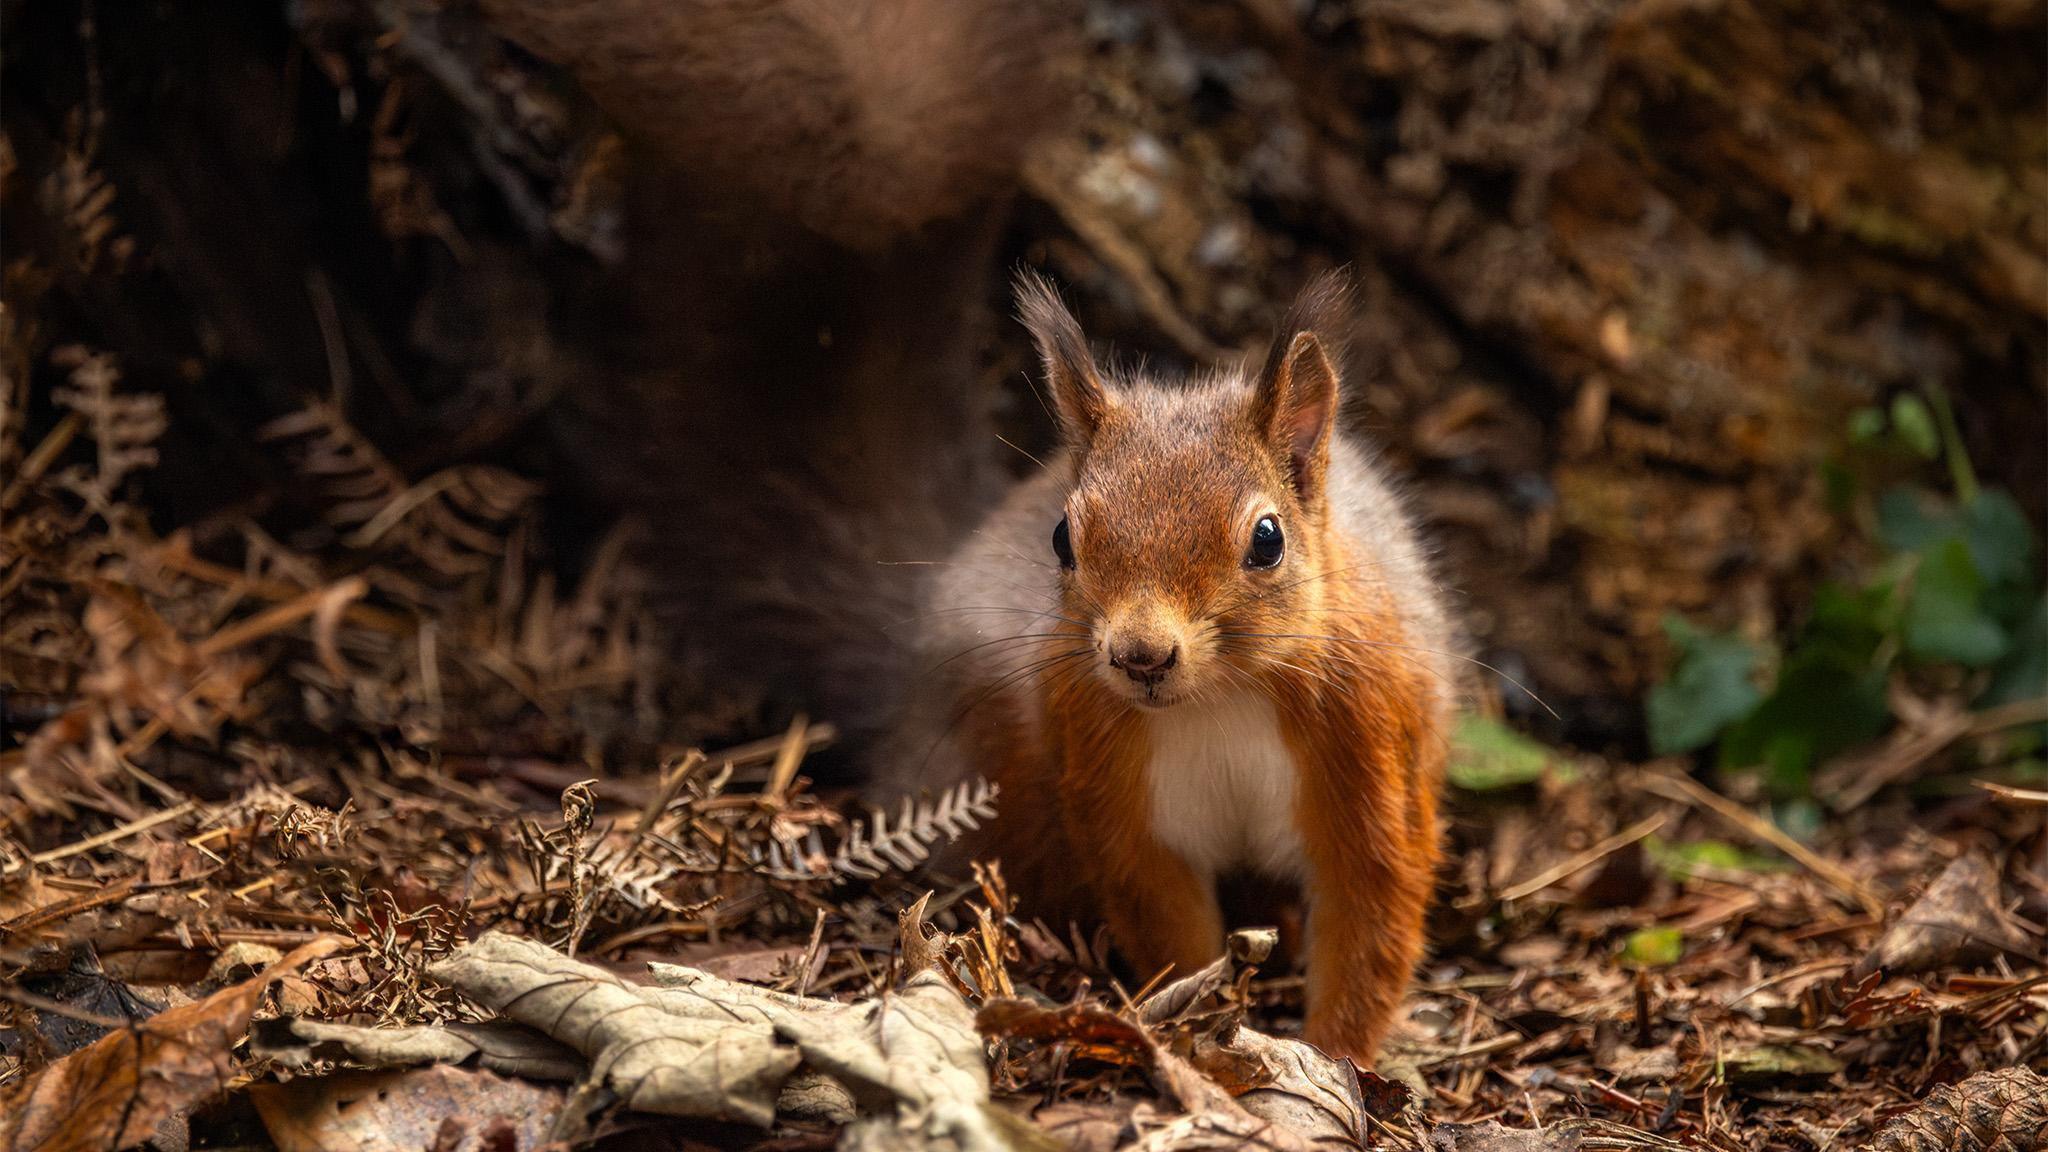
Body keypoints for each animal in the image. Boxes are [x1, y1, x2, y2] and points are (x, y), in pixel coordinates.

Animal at [884, 270, 1458, 1057]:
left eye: (1269, 539)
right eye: (1061, 537)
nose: (1141, 656)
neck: (1223, 698)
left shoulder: (1369, 751)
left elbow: (1371, 912)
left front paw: (1333, 1057)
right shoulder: (1120, 794)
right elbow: (1169, 924)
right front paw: (1191, 1022)